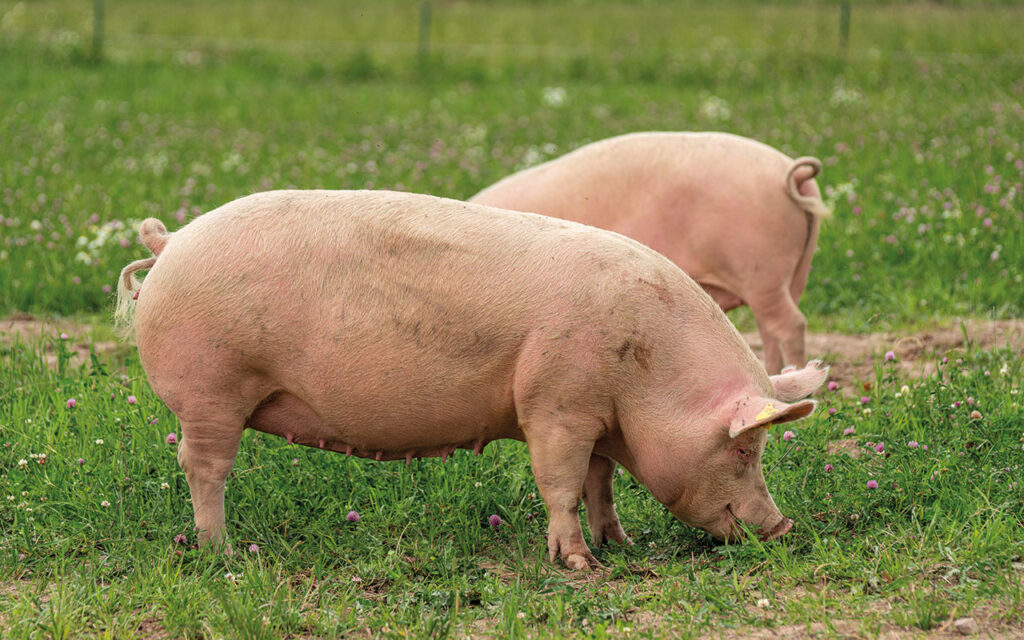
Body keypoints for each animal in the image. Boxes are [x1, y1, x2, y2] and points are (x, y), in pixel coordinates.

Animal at [116, 190, 828, 570]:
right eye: (745, 448)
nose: (783, 528)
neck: (647, 375)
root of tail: (169, 243)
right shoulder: (554, 403)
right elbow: (561, 484)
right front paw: (583, 566)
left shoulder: (597, 415)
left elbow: (600, 481)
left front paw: (621, 543)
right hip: (211, 389)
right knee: (202, 465)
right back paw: (226, 553)